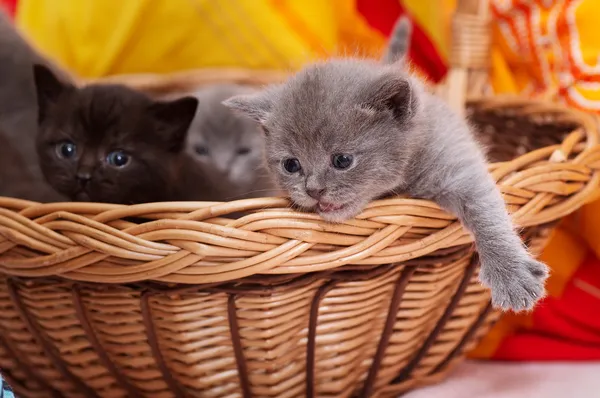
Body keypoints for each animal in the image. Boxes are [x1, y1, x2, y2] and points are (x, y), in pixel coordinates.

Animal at [224, 59, 548, 314]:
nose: (313, 190)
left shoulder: (457, 166)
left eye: (342, 160)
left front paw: (510, 275)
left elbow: (485, 212)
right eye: (291, 165)